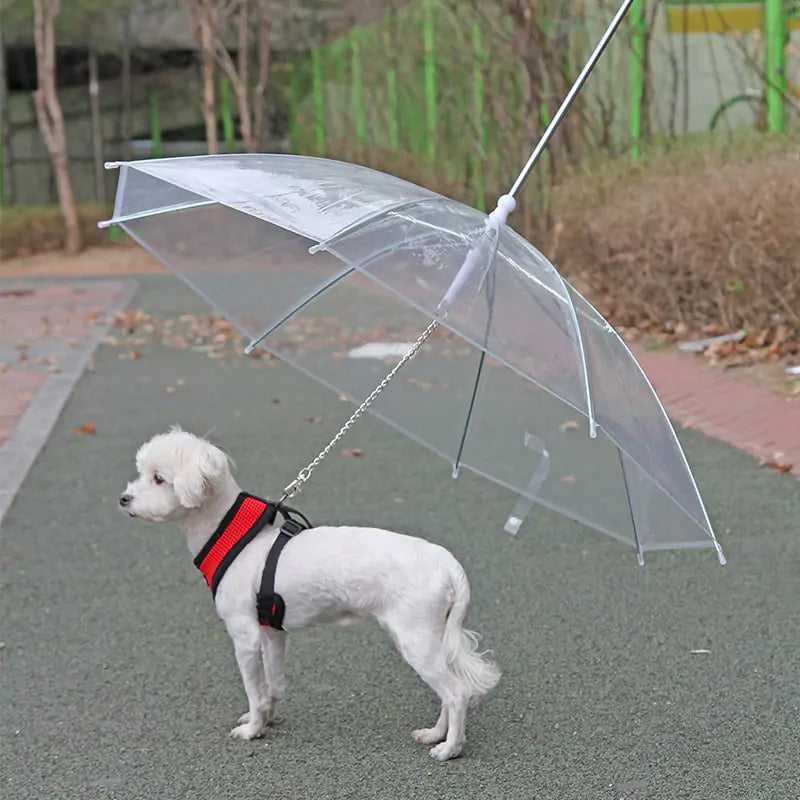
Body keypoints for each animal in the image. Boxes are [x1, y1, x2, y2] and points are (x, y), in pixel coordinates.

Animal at [120, 428, 500, 760]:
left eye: (158, 478)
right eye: (141, 473)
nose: (124, 499)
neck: (235, 538)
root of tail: (446, 562)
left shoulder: (245, 637)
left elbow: (254, 688)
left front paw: (253, 729)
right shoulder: (271, 633)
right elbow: (273, 685)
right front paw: (267, 719)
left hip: (416, 640)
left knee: (456, 693)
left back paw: (450, 749)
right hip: (430, 638)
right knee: (447, 693)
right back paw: (436, 734)